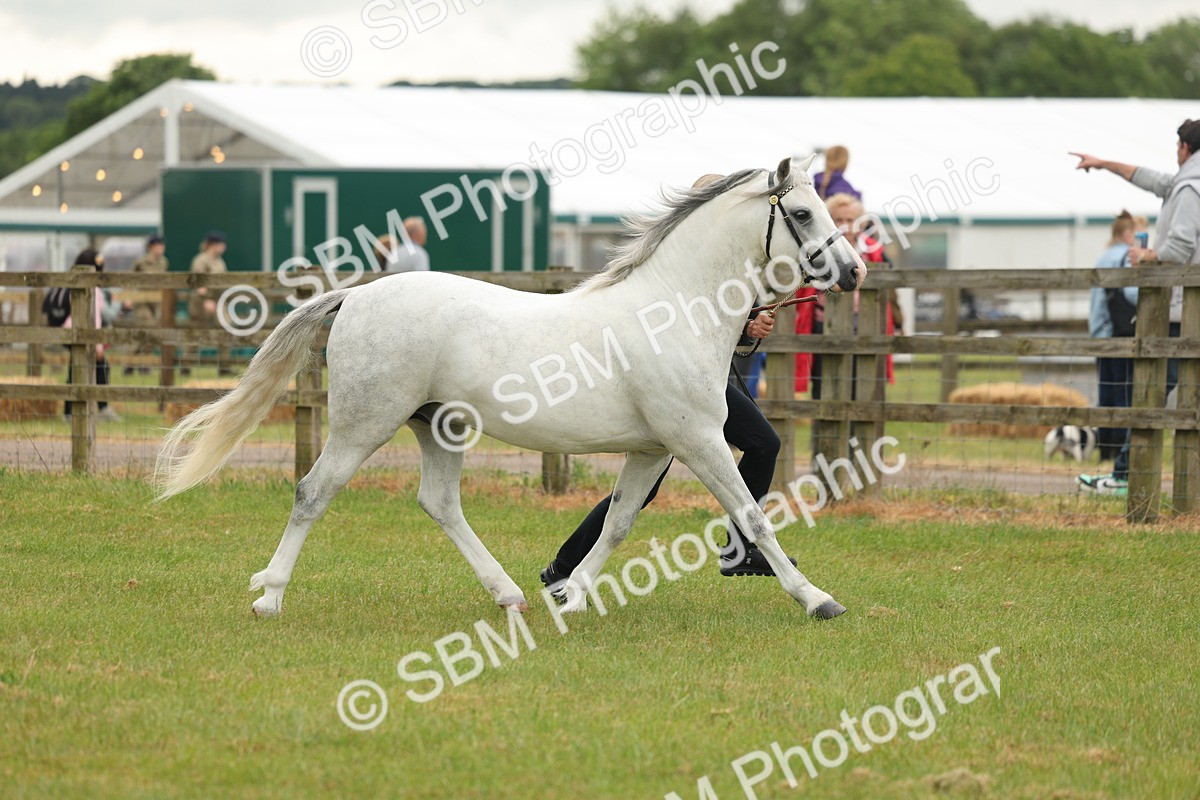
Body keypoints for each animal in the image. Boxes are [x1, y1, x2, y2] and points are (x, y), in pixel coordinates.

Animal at [154, 155, 866, 620]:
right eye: (802, 212)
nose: (855, 270)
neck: (673, 310)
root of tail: (355, 295)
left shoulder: (652, 449)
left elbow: (618, 522)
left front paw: (571, 595)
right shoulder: (697, 441)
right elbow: (752, 513)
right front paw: (818, 599)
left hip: (438, 426)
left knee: (439, 503)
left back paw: (510, 594)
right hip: (364, 423)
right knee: (313, 491)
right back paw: (270, 596)